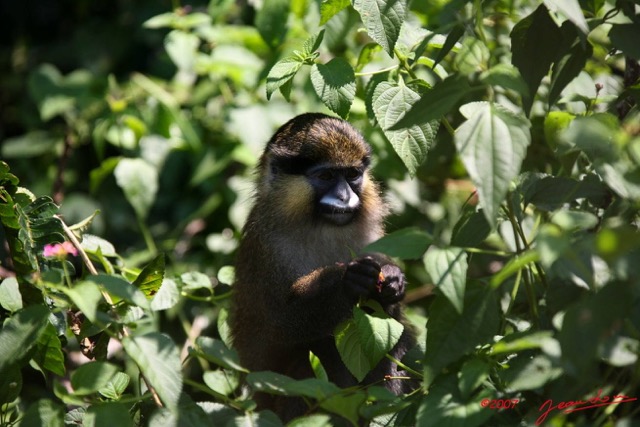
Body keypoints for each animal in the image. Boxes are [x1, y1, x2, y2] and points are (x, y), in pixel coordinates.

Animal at [230, 112, 416, 422]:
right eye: (327, 176)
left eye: (352, 175)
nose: (344, 197)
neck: (318, 226)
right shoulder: (269, 249)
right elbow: (280, 324)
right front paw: (346, 282)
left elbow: (392, 324)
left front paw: (393, 281)